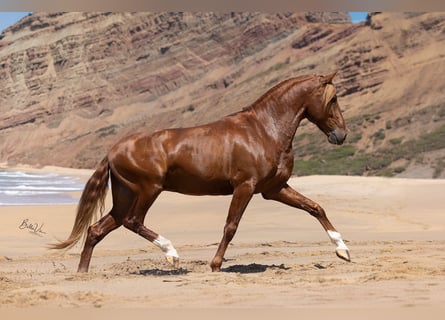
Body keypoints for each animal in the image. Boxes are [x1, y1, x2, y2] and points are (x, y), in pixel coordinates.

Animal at [51, 72, 350, 272]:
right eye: (334, 99)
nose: (341, 135)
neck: (264, 130)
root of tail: (112, 151)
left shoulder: (274, 189)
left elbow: (315, 207)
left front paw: (343, 251)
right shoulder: (245, 186)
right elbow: (231, 226)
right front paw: (215, 265)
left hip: (125, 195)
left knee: (97, 229)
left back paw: (83, 274)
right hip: (149, 189)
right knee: (133, 221)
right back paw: (172, 254)